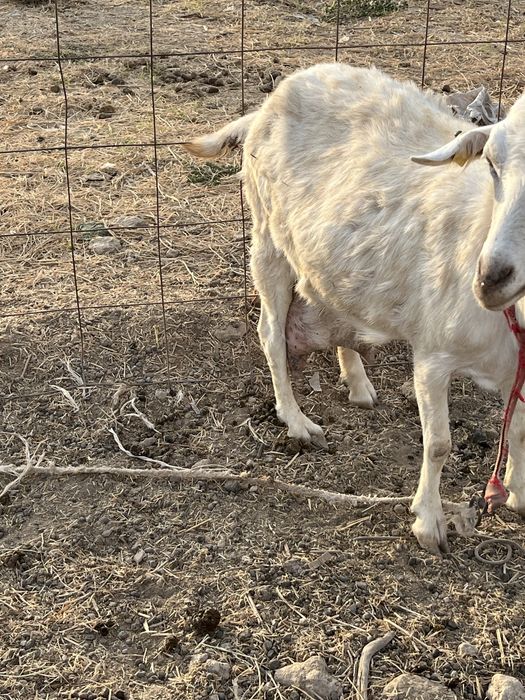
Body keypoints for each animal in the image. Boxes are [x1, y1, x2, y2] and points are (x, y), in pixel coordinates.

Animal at [184, 63, 525, 554]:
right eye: (492, 164)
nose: (490, 278)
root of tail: (269, 102)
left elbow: (518, 429)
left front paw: (517, 494)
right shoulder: (434, 355)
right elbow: (439, 444)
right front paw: (428, 523)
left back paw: (358, 382)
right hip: (268, 237)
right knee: (269, 333)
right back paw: (297, 421)